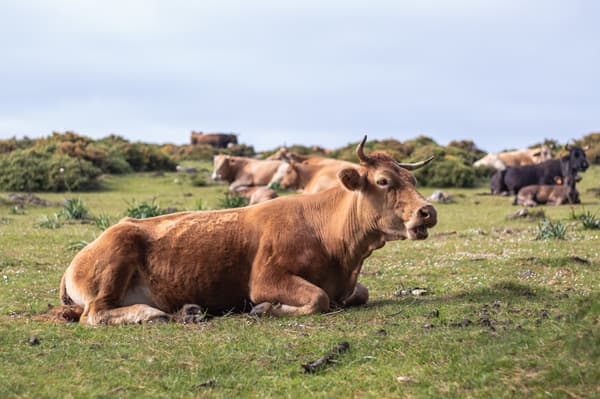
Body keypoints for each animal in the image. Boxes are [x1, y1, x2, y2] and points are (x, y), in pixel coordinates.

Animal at [52, 138, 436, 324]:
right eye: (383, 181)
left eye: (414, 180)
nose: (427, 211)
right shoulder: (265, 278)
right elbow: (319, 298)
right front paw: (265, 309)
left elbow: (361, 292)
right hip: (114, 260)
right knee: (94, 314)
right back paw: (150, 315)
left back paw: (187, 312)